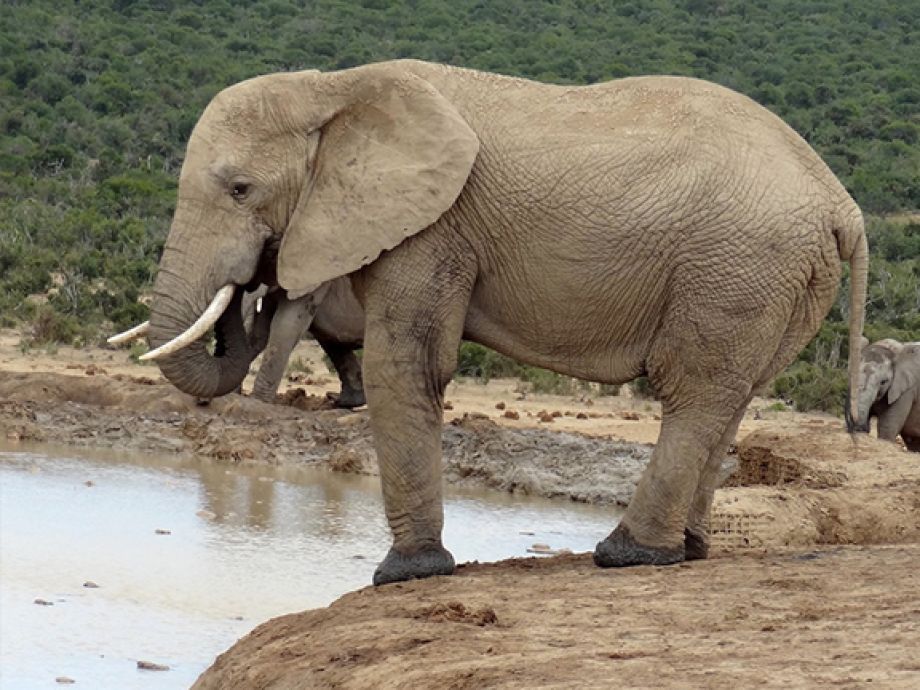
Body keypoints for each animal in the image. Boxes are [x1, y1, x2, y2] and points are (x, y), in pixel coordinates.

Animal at [124, 59, 867, 585]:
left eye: (240, 189)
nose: (253, 277)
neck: (332, 87)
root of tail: (841, 203)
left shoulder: (432, 229)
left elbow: (410, 364)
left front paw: (406, 575)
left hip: (738, 260)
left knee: (696, 389)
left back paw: (628, 556)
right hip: (777, 278)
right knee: (732, 397)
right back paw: (687, 550)